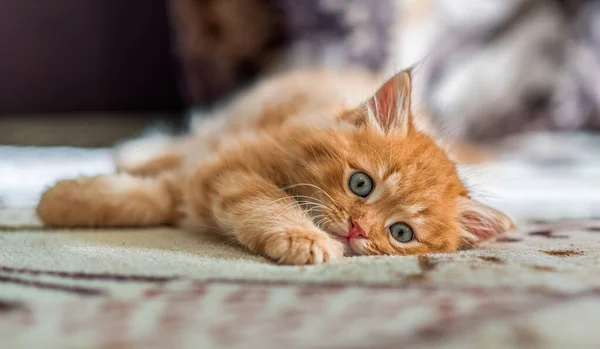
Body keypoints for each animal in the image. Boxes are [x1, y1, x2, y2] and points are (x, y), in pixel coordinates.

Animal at [37, 67, 512, 264]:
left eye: (401, 233)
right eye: (361, 184)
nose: (357, 229)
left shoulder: (207, 174)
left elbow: (150, 198)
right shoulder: (227, 163)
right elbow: (266, 200)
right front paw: (57, 203)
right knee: (181, 140)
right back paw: (134, 152)